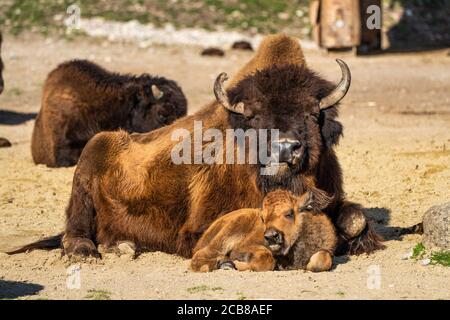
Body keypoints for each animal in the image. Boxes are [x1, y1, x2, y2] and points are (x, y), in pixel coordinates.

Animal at [192, 189, 336, 274]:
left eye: (289, 213)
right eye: (263, 218)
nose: (271, 236)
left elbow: (322, 260)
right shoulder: (243, 247)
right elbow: (267, 259)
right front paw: (237, 264)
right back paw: (224, 264)